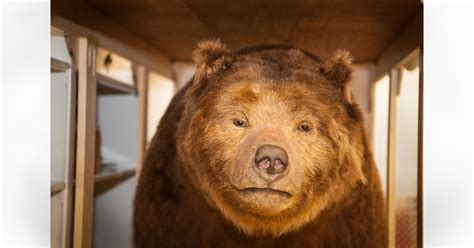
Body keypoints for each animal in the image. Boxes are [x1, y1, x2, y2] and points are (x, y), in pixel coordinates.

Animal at [132, 39, 386, 247]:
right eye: (239, 120)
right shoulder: (174, 201)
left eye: (305, 126)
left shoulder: (347, 218)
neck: (262, 228)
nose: (271, 159)